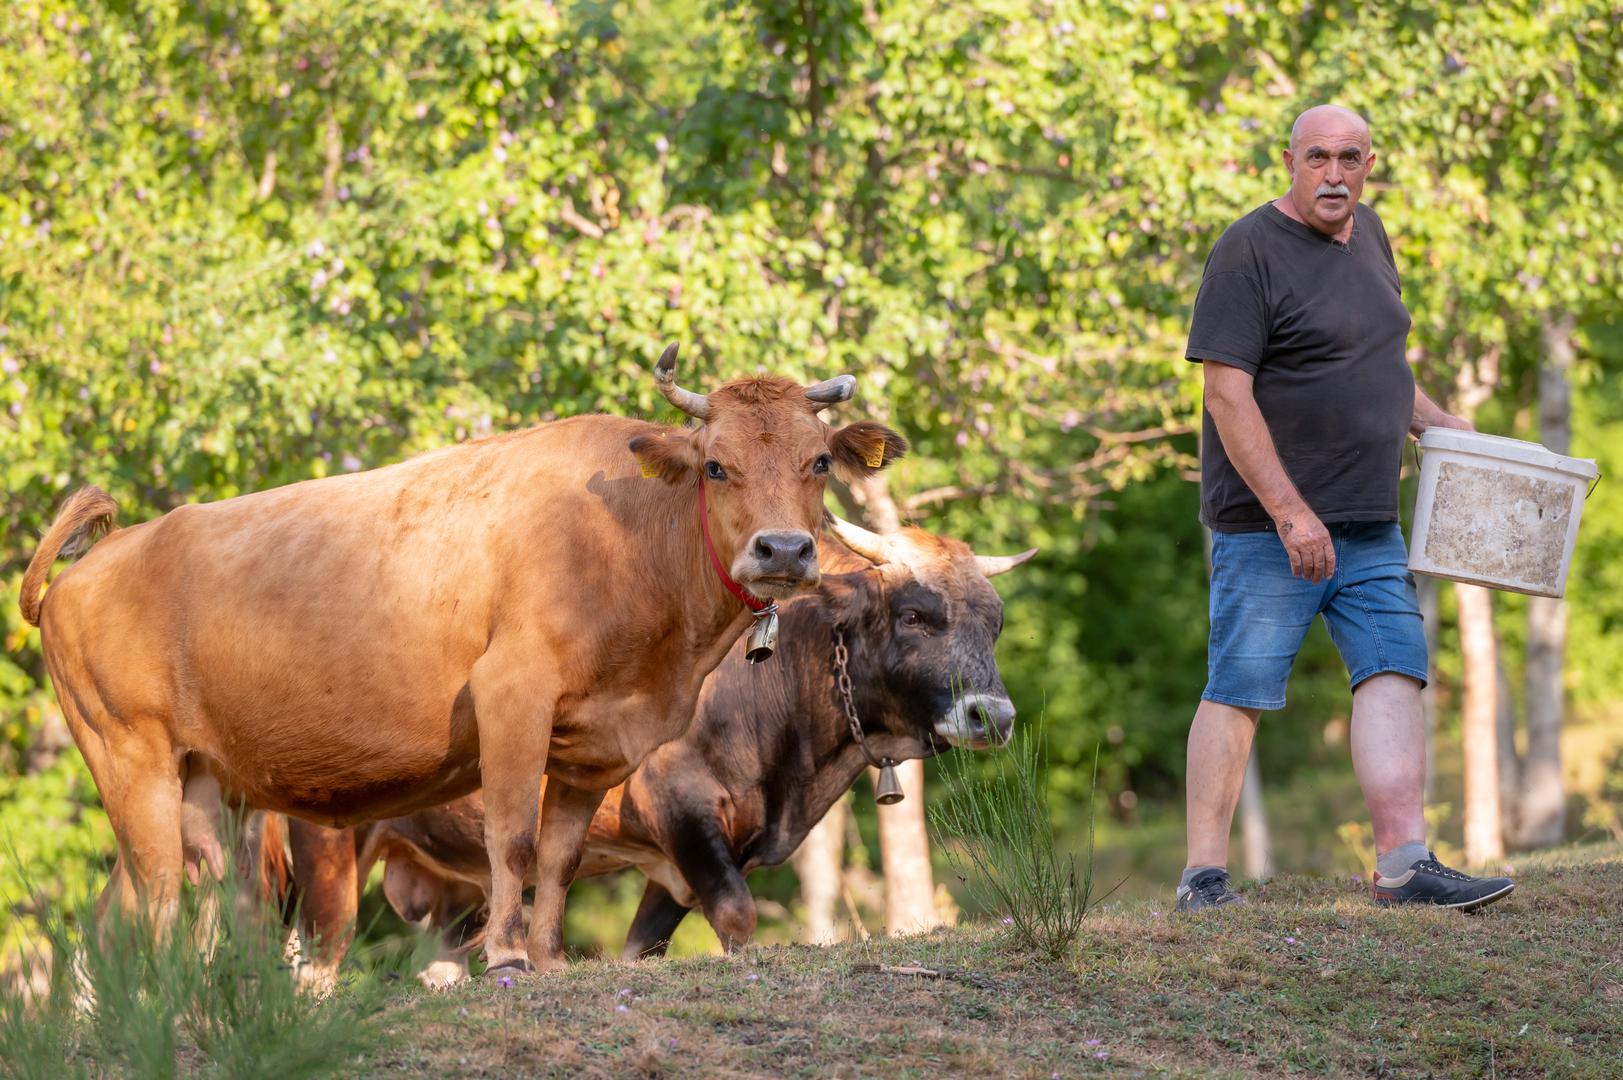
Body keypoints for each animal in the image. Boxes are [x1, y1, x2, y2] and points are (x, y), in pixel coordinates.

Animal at [22, 341, 902, 974]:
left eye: (818, 462)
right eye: (716, 465)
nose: (782, 550)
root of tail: (104, 557)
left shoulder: (593, 748)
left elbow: (558, 853)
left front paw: (547, 960)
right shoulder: (511, 698)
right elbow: (512, 837)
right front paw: (508, 957)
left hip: (203, 787)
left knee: (147, 907)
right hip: (131, 762)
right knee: (151, 903)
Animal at [280, 513, 1032, 974]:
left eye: (995, 624)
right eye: (915, 615)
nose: (992, 716)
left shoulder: (682, 867)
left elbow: (643, 949)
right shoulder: (684, 814)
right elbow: (736, 917)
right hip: (328, 855)